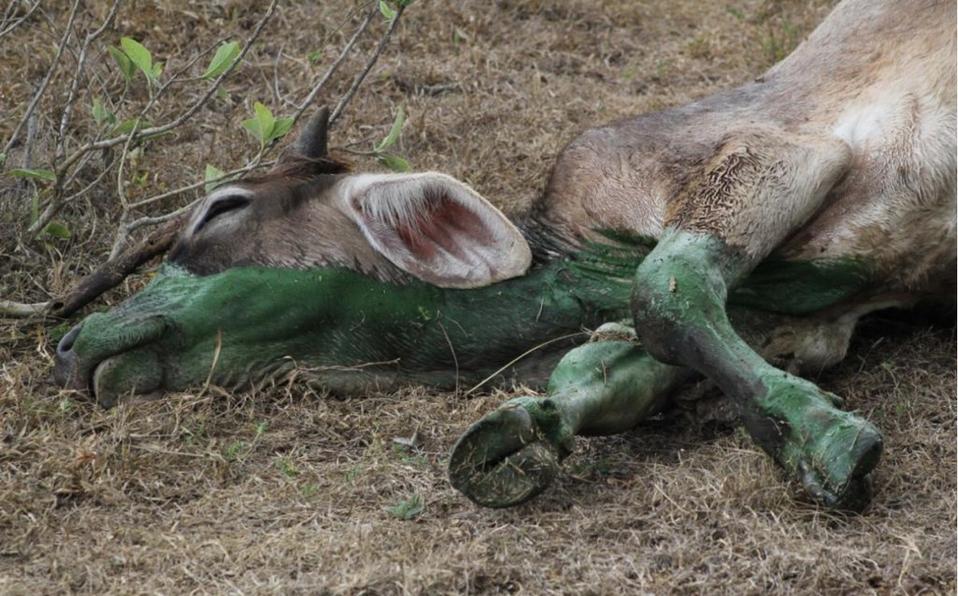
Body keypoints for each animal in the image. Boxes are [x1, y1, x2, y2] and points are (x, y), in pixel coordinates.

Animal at [54, 0, 958, 512]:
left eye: (222, 209)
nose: (66, 343)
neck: (570, 273)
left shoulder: (777, 151)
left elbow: (662, 291)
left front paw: (829, 445)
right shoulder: (800, 326)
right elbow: (623, 366)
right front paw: (525, 431)